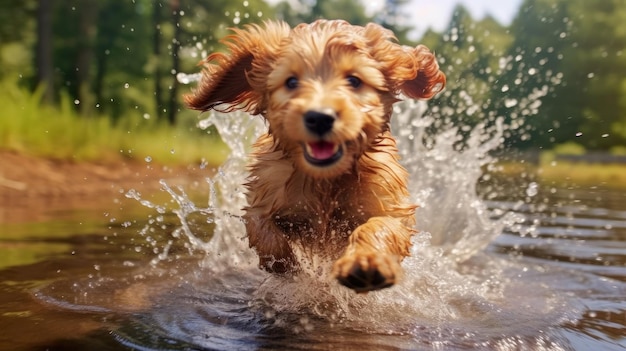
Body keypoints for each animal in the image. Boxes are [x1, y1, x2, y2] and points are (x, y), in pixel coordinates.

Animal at [185, 20, 444, 294]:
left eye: (354, 80)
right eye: (291, 82)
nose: (319, 117)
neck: (325, 180)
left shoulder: (389, 203)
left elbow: (380, 227)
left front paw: (366, 262)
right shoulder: (265, 192)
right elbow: (263, 230)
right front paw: (285, 265)